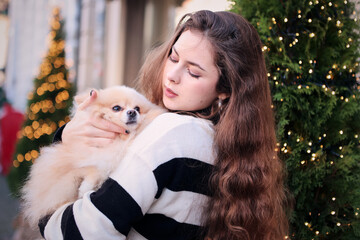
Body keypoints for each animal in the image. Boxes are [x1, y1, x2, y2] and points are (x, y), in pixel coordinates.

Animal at [20, 85, 165, 228]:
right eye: (116, 108)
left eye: (137, 108)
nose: (132, 112)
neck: (120, 138)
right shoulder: (83, 157)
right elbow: (89, 168)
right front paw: (84, 188)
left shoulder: (105, 158)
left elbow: (96, 169)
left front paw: (85, 188)